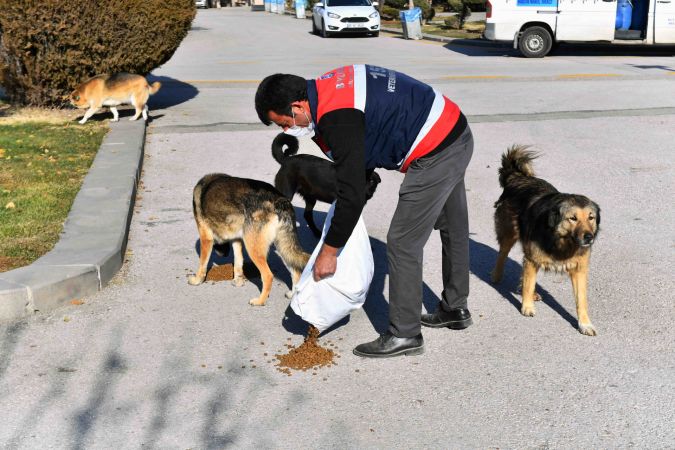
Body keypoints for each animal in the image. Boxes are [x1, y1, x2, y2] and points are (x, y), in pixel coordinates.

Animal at [187, 172, 308, 306]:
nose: (222, 254)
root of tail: (280, 200)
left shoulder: (206, 238)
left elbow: (202, 264)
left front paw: (197, 280)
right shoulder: (237, 240)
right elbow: (238, 262)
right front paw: (238, 281)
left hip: (253, 249)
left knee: (268, 275)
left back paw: (260, 301)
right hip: (283, 247)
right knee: (295, 272)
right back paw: (292, 295)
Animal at [492, 146, 604, 336]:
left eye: (591, 217)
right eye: (573, 218)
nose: (589, 237)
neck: (562, 242)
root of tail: (517, 177)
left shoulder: (579, 269)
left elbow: (581, 300)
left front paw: (585, 323)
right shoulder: (532, 258)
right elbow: (528, 283)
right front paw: (527, 306)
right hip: (509, 233)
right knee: (502, 253)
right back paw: (497, 276)